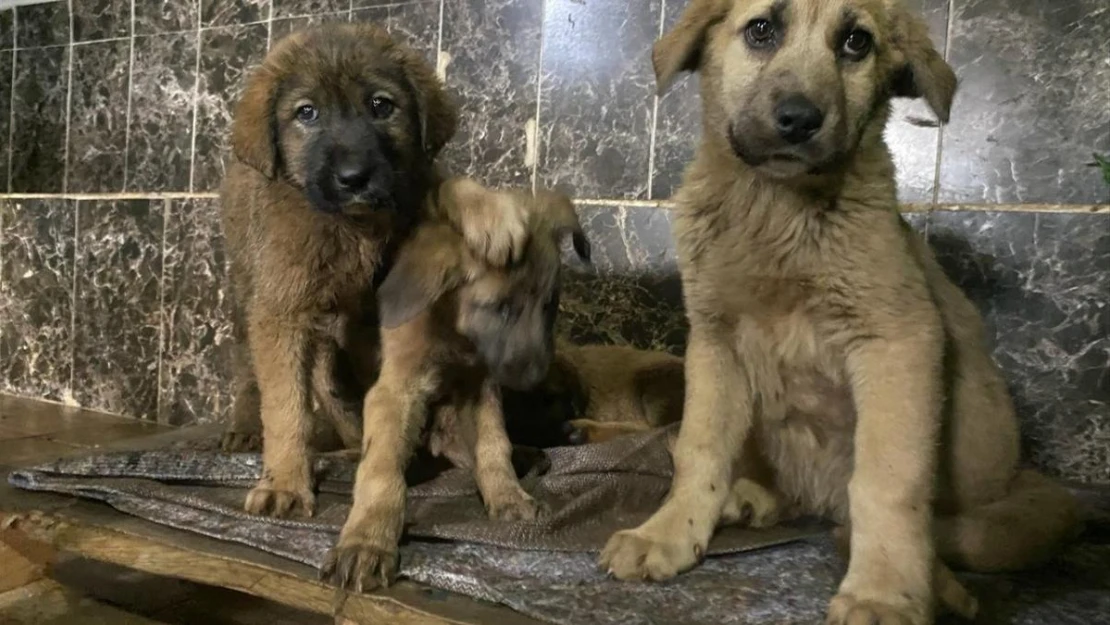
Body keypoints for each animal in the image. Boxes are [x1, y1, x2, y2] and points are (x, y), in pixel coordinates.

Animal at [220, 24, 528, 521]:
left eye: (381, 106)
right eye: (307, 113)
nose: (354, 177)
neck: (355, 226)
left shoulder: (414, 180)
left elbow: (444, 181)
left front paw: (490, 213)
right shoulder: (281, 309)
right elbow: (286, 407)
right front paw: (285, 482)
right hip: (255, 300)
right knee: (259, 375)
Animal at [603, 1, 1078, 625]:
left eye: (857, 43)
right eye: (761, 29)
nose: (799, 119)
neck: (776, 209)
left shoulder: (898, 339)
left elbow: (885, 483)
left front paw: (883, 591)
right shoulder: (714, 341)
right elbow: (698, 452)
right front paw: (668, 534)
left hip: (1004, 461)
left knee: (932, 525)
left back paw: (939, 583)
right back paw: (749, 499)